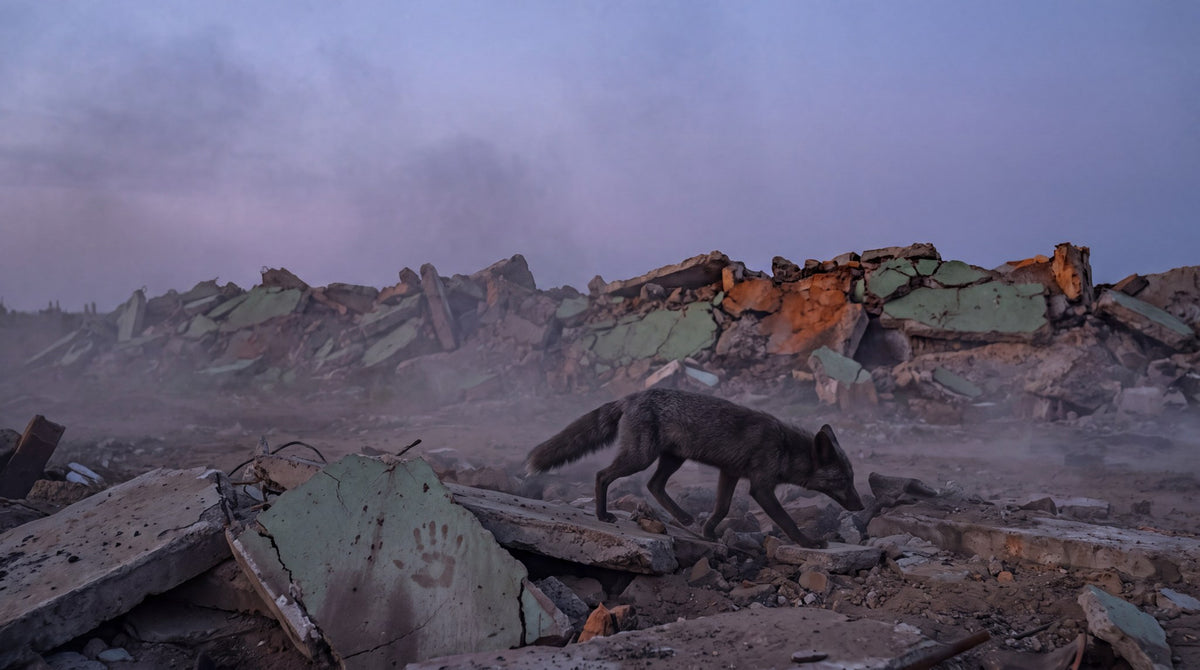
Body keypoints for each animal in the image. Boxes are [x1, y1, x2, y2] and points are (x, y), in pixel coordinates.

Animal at [526, 388, 864, 548]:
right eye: (843, 480)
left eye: (852, 478)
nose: (861, 506)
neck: (785, 447)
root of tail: (632, 397)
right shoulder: (761, 487)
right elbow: (787, 522)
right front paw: (809, 542)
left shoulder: (730, 472)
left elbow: (722, 508)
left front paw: (708, 532)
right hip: (641, 457)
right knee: (602, 475)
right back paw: (602, 515)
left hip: (672, 459)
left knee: (654, 486)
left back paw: (684, 517)